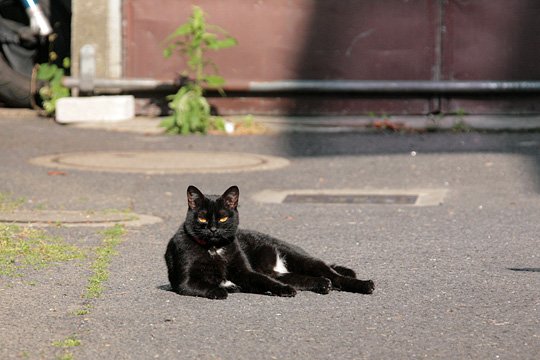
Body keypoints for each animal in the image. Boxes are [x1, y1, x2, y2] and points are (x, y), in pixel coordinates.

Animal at [165, 184, 376, 300]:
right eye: (202, 218)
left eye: (223, 218)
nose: (213, 229)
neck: (214, 249)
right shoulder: (184, 282)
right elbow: (202, 285)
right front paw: (220, 290)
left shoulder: (245, 272)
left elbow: (263, 281)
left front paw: (283, 290)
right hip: (288, 273)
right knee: (315, 279)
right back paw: (323, 285)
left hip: (301, 258)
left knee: (335, 275)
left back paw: (365, 285)